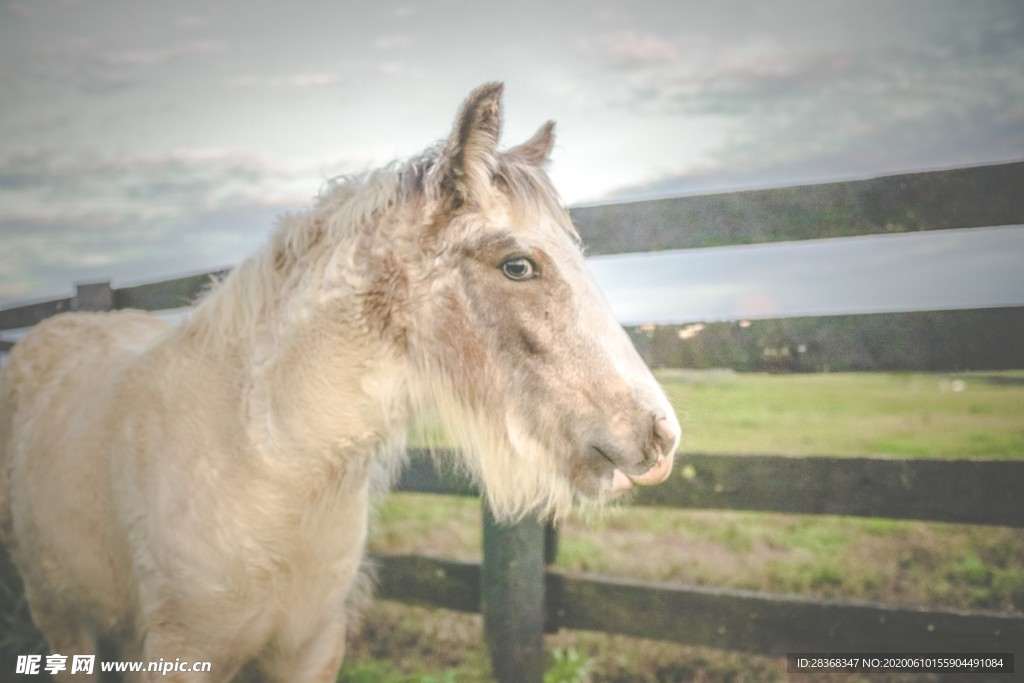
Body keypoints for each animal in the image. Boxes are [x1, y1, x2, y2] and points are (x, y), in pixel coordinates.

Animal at [0, 83, 680, 682]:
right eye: (517, 266)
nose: (662, 435)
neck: (261, 468)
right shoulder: (179, 653)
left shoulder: (312, 651)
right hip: (64, 624)